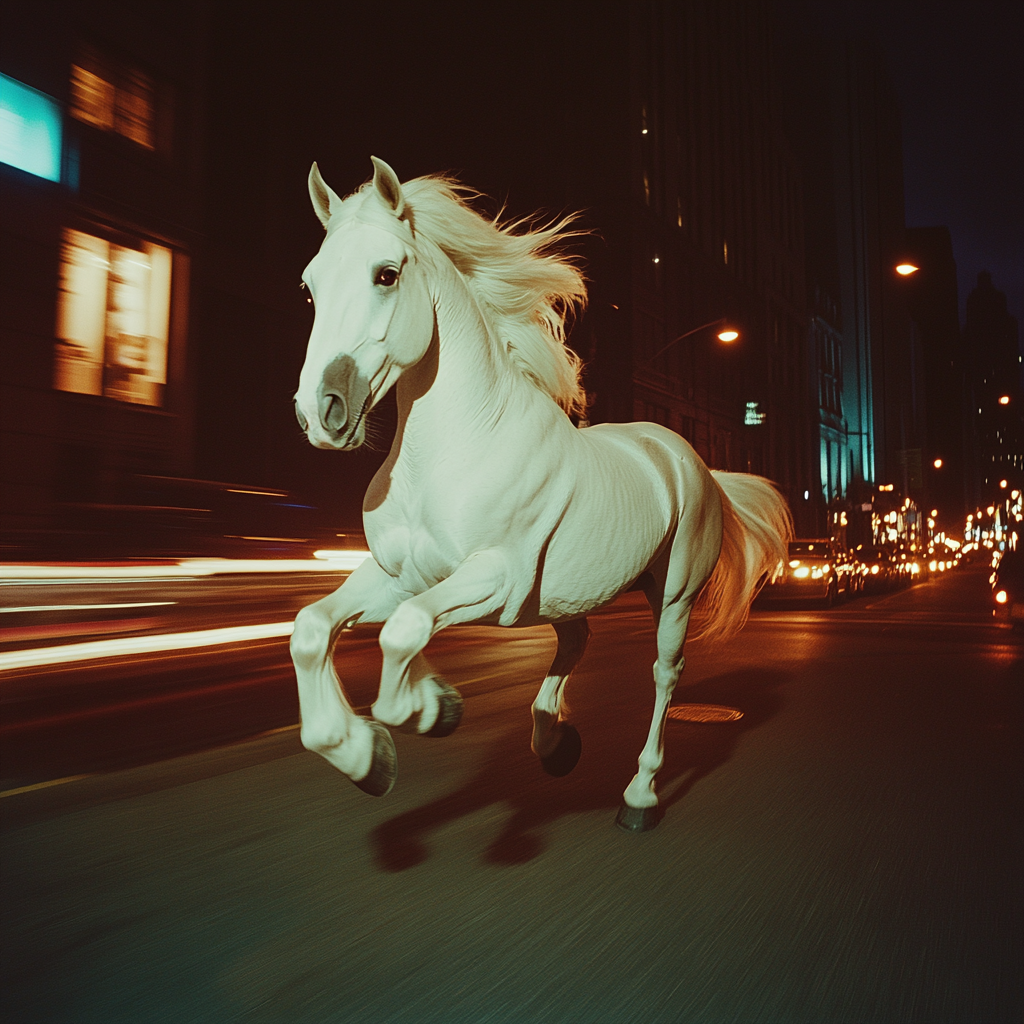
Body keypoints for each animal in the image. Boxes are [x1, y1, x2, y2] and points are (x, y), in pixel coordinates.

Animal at [290, 159, 790, 831]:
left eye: (386, 274)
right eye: (310, 287)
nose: (322, 413)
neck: (455, 449)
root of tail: (695, 464)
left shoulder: (494, 579)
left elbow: (403, 632)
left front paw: (429, 710)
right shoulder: (397, 575)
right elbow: (314, 630)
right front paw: (366, 754)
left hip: (674, 594)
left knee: (664, 674)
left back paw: (639, 794)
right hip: (568, 592)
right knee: (576, 640)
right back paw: (554, 740)